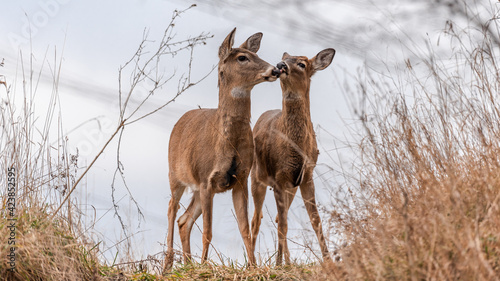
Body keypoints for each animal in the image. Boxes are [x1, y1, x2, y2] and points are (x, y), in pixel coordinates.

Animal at [164, 27, 282, 270]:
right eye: (242, 57)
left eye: (255, 53)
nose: (275, 69)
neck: (227, 142)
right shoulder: (206, 177)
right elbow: (208, 232)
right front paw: (204, 266)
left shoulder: (240, 178)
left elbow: (245, 228)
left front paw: (252, 267)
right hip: (176, 175)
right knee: (172, 208)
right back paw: (169, 264)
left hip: (197, 189)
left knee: (184, 220)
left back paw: (188, 265)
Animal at [250, 48, 336, 264]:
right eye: (285, 59)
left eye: (302, 64)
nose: (281, 65)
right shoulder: (278, 177)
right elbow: (283, 225)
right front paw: (278, 264)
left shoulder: (306, 176)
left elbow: (315, 221)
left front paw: (329, 261)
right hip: (256, 177)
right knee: (257, 219)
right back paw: (252, 263)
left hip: (291, 187)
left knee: (278, 217)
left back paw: (287, 262)